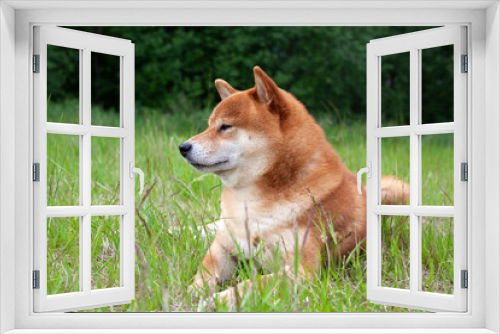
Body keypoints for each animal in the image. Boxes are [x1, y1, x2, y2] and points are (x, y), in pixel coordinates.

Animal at [179, 66, 406, 310]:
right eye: (209, 126)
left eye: (225, 126)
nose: (183, 147)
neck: (251, 202)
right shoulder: (222, 248)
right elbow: (202, 276)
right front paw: (190, 294)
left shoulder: (299, 272)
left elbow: (250, 285)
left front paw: (215, 301)